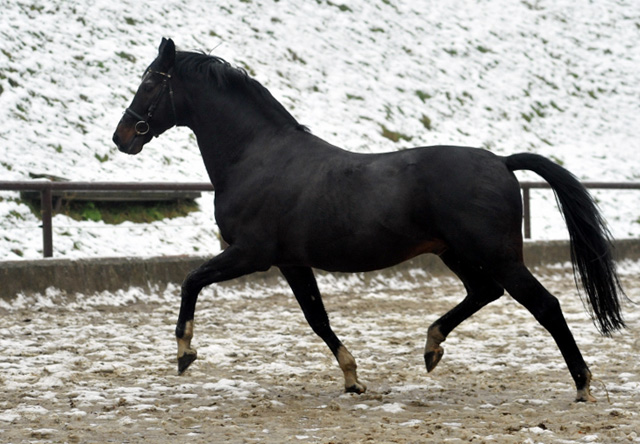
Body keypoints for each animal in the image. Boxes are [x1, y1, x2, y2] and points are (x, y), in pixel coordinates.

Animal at [111, 38, 624, 402]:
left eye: (151, 83)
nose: (122, 137)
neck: (257, 157)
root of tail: (500, 161)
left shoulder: (250, 255)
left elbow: (192, 281)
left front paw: (185, 353)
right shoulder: (291, 262)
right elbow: (316, 318)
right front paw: (353, 378)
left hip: (494, 254)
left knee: (545, 305)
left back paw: (582, 383)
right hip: (457, 253)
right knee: (484, 292)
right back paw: (432, 347)